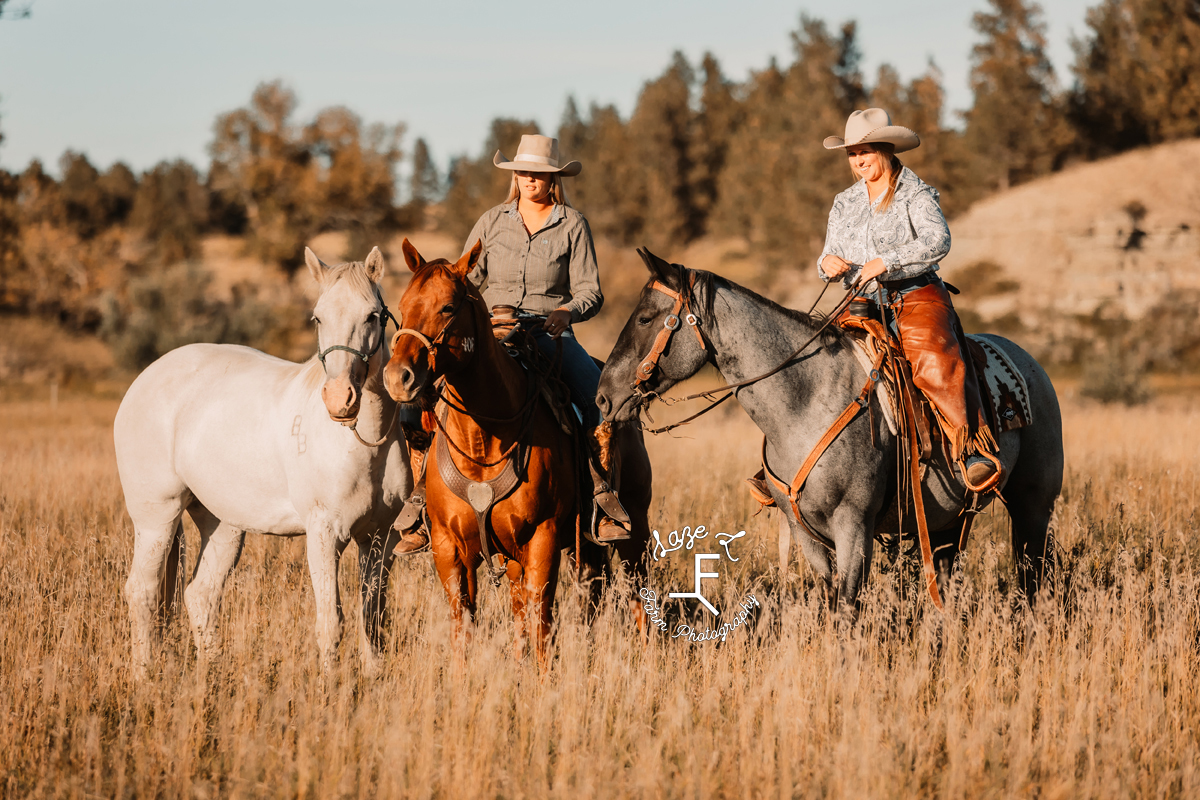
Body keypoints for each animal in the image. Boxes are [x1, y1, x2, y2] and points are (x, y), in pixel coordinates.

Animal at [115, 245, 412, 676]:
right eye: (317, 317)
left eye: (372, 315)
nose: (340, 399)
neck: (363, 442)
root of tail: (145, 378)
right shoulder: (325, 534)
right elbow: (331, 622)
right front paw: (331, 687)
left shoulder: (379, 538)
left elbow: (372, 618)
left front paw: (373, 678)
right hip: (157, 517)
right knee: (143, 591)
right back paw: (144, 677)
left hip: (223, 525)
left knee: (200, 595)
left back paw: (211, 677)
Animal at [381, 241, 648, 666]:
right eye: (403, 305)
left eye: (448, 307)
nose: (398, 378)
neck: (482, 443)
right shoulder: (448, 547)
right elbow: (464, 626)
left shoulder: (542, 539)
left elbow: (541, 624)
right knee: (583, 593)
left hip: (633, 524)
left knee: (638, 594)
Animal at [595, 250, 1065, 614]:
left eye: (645, 318)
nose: (603, 397)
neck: (805, 403)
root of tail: (1030, 363)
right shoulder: (805, 531)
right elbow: (829, 597)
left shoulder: (854, 527)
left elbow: (846, 609)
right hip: (946, 524)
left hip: (1032, 505)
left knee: (1034, 578)